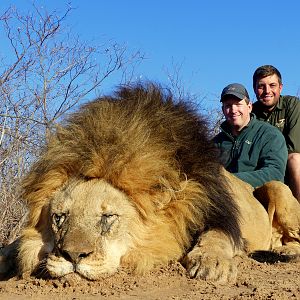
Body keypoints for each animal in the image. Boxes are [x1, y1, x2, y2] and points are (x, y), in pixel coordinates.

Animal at [0, 83, 300, 282]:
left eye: (108, 217)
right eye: (59, 217)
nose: (72, 257)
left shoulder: (220, 215)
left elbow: (217, 235)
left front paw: (211, 263)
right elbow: (18, 242)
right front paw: (6, 254)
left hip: (278, 189)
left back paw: (280, 251)